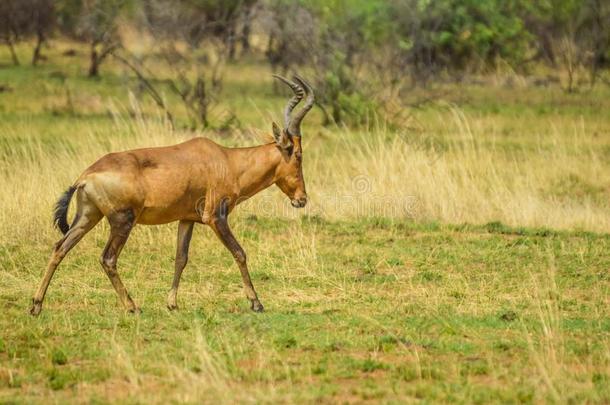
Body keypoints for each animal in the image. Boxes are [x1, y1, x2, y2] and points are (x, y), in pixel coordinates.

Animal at [29, 75, 314, 316]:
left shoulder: (186, 219)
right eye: (298, 155)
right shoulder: (215, 218)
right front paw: (256, 303)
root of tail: (85, 176)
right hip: (122, 221)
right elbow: (240, 253)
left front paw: (172, 303)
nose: (301, 199)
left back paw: (36, 305)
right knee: (108, 259)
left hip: (88, 216)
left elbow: (181, 258)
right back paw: (132, 307)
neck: (226, 160)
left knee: (60, 248)